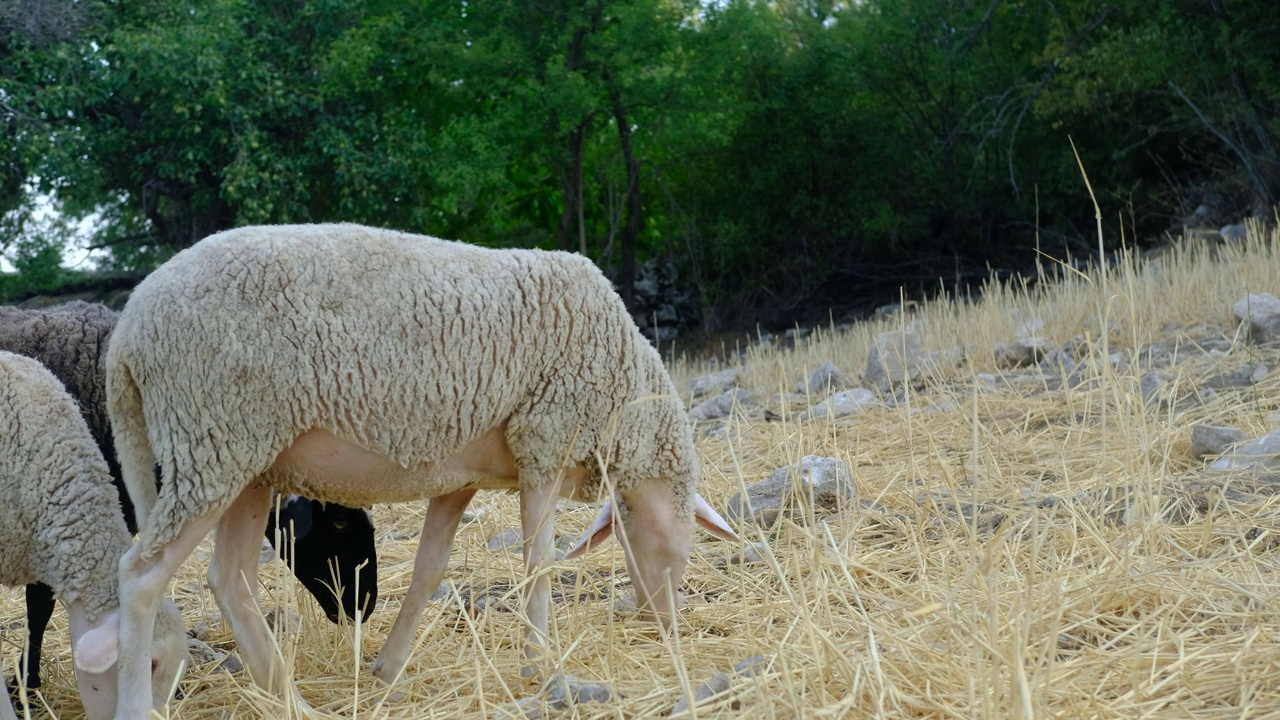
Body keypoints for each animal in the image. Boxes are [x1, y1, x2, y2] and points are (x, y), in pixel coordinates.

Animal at [82, 222, 742, 712]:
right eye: (677, 542)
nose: (666, 626)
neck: (628, 413)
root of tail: (130, 330)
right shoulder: (546, 441)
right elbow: (538, 566)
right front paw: (538, 664)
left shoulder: (459, 478)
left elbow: (428, 573)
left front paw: (387, 667)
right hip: (212, 438)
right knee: (141, 576)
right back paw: (144, 704)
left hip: (242, 459)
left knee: (230, 579)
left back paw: (293, 700)